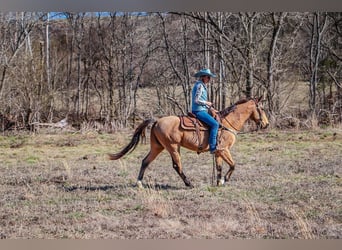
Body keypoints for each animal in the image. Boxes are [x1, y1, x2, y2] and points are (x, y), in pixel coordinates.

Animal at [108, 96, 268, 188]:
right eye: (261, 108)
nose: (266, 124)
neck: (227, 123)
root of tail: (157, 120)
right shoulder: (224, 150)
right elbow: (233, 165)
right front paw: (224, 180)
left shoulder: (218, 152)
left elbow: (219, 167)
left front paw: (218, 182)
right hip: (173, 147)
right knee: (177, 165)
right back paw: (189, 183)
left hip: (157, 147)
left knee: (145, 161)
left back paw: (139, 183)